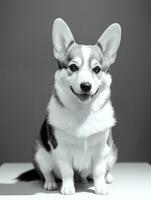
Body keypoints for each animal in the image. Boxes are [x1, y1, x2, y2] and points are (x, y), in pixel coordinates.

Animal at [17, 18, 121, 195]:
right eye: (73, 67)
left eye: (97, 69)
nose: (86, 86)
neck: (82, 112)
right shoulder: (62, 149)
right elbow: (67, 171)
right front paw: (67, 187)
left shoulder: (101, 149)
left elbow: (99, 170)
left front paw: (100, 186)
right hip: (40, 153)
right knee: (46, 173)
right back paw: (50, 183)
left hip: (112, 151)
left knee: (101, 171)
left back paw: (106, 177)